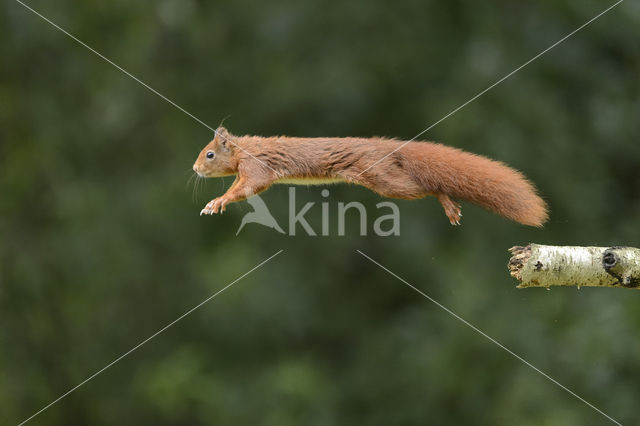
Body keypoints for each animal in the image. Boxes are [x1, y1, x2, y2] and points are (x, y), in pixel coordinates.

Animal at [192, 126, 548, 226]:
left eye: (209, 154)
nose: (194, 168)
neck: (242, 150)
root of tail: (384, 145)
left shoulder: (257, 168)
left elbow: (249, 187)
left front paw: (217, 201)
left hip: (382, 177)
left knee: (426, 187)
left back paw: (447, 202)